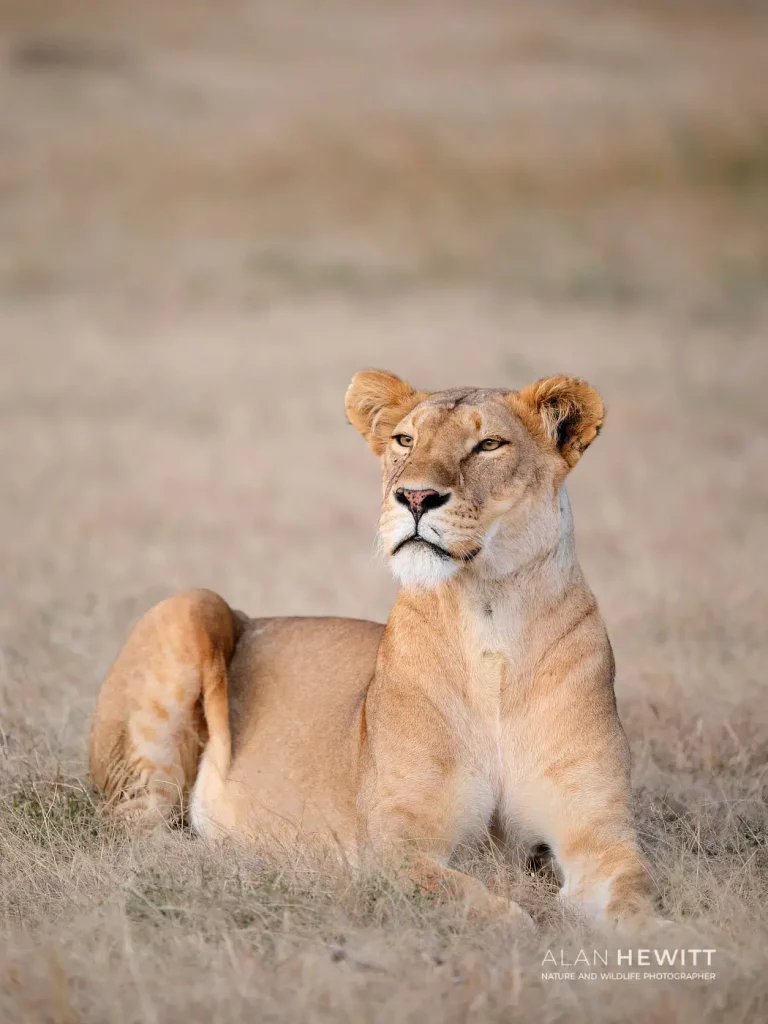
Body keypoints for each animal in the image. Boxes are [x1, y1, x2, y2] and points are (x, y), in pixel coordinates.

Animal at [90, 370, 655, 927]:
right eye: (406, 440)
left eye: (488, 445)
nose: (416, 498)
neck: (490, 618)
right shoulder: (394, 848)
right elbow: (493, 912)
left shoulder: (601, 838)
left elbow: (635, 903)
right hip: (191, 605)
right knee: (139, 839)